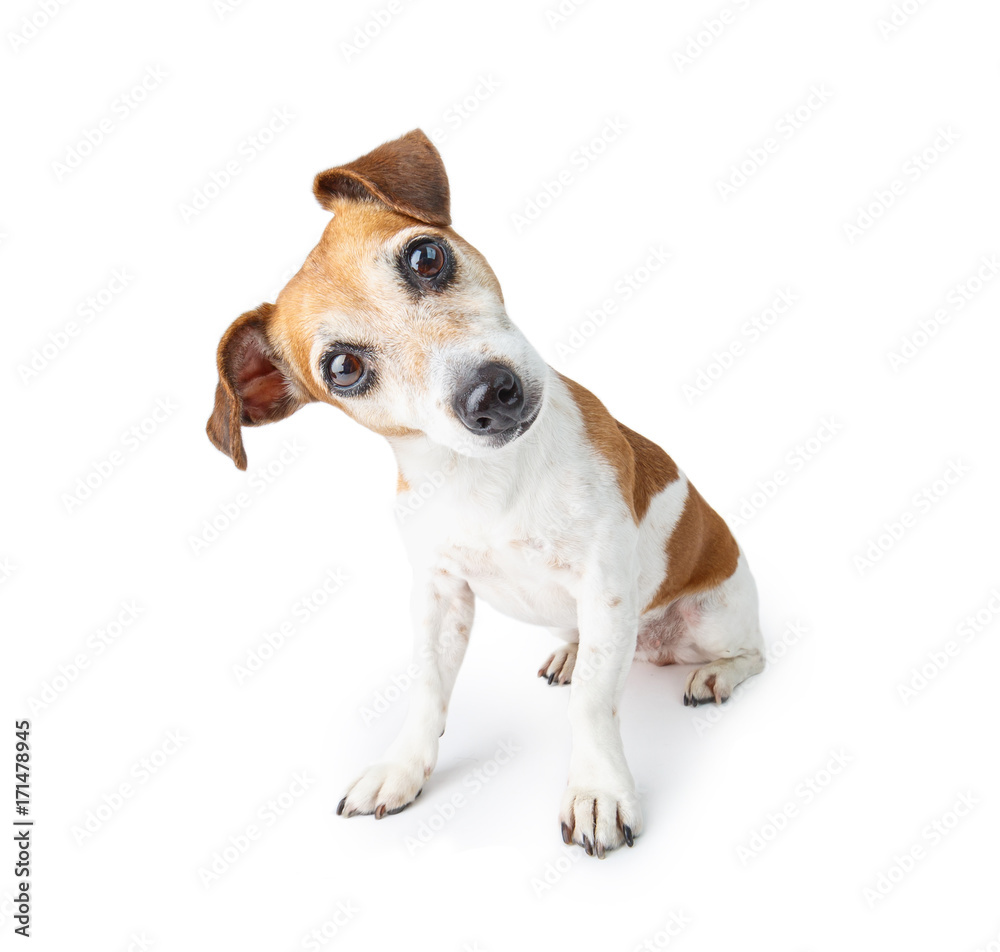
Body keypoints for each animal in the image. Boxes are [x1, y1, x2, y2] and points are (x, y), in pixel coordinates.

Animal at [205, 130, 764, 860]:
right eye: (344, 367)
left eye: (426, 256)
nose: (488, 394)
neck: (486, 479)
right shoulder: (441, 595)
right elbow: (428, 689)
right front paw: (402, 768)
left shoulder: (604, 586)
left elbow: (593, 704)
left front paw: (596, 790)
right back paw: (573, 651)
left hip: (715, 617)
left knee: (751, 653)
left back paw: (716, 674)